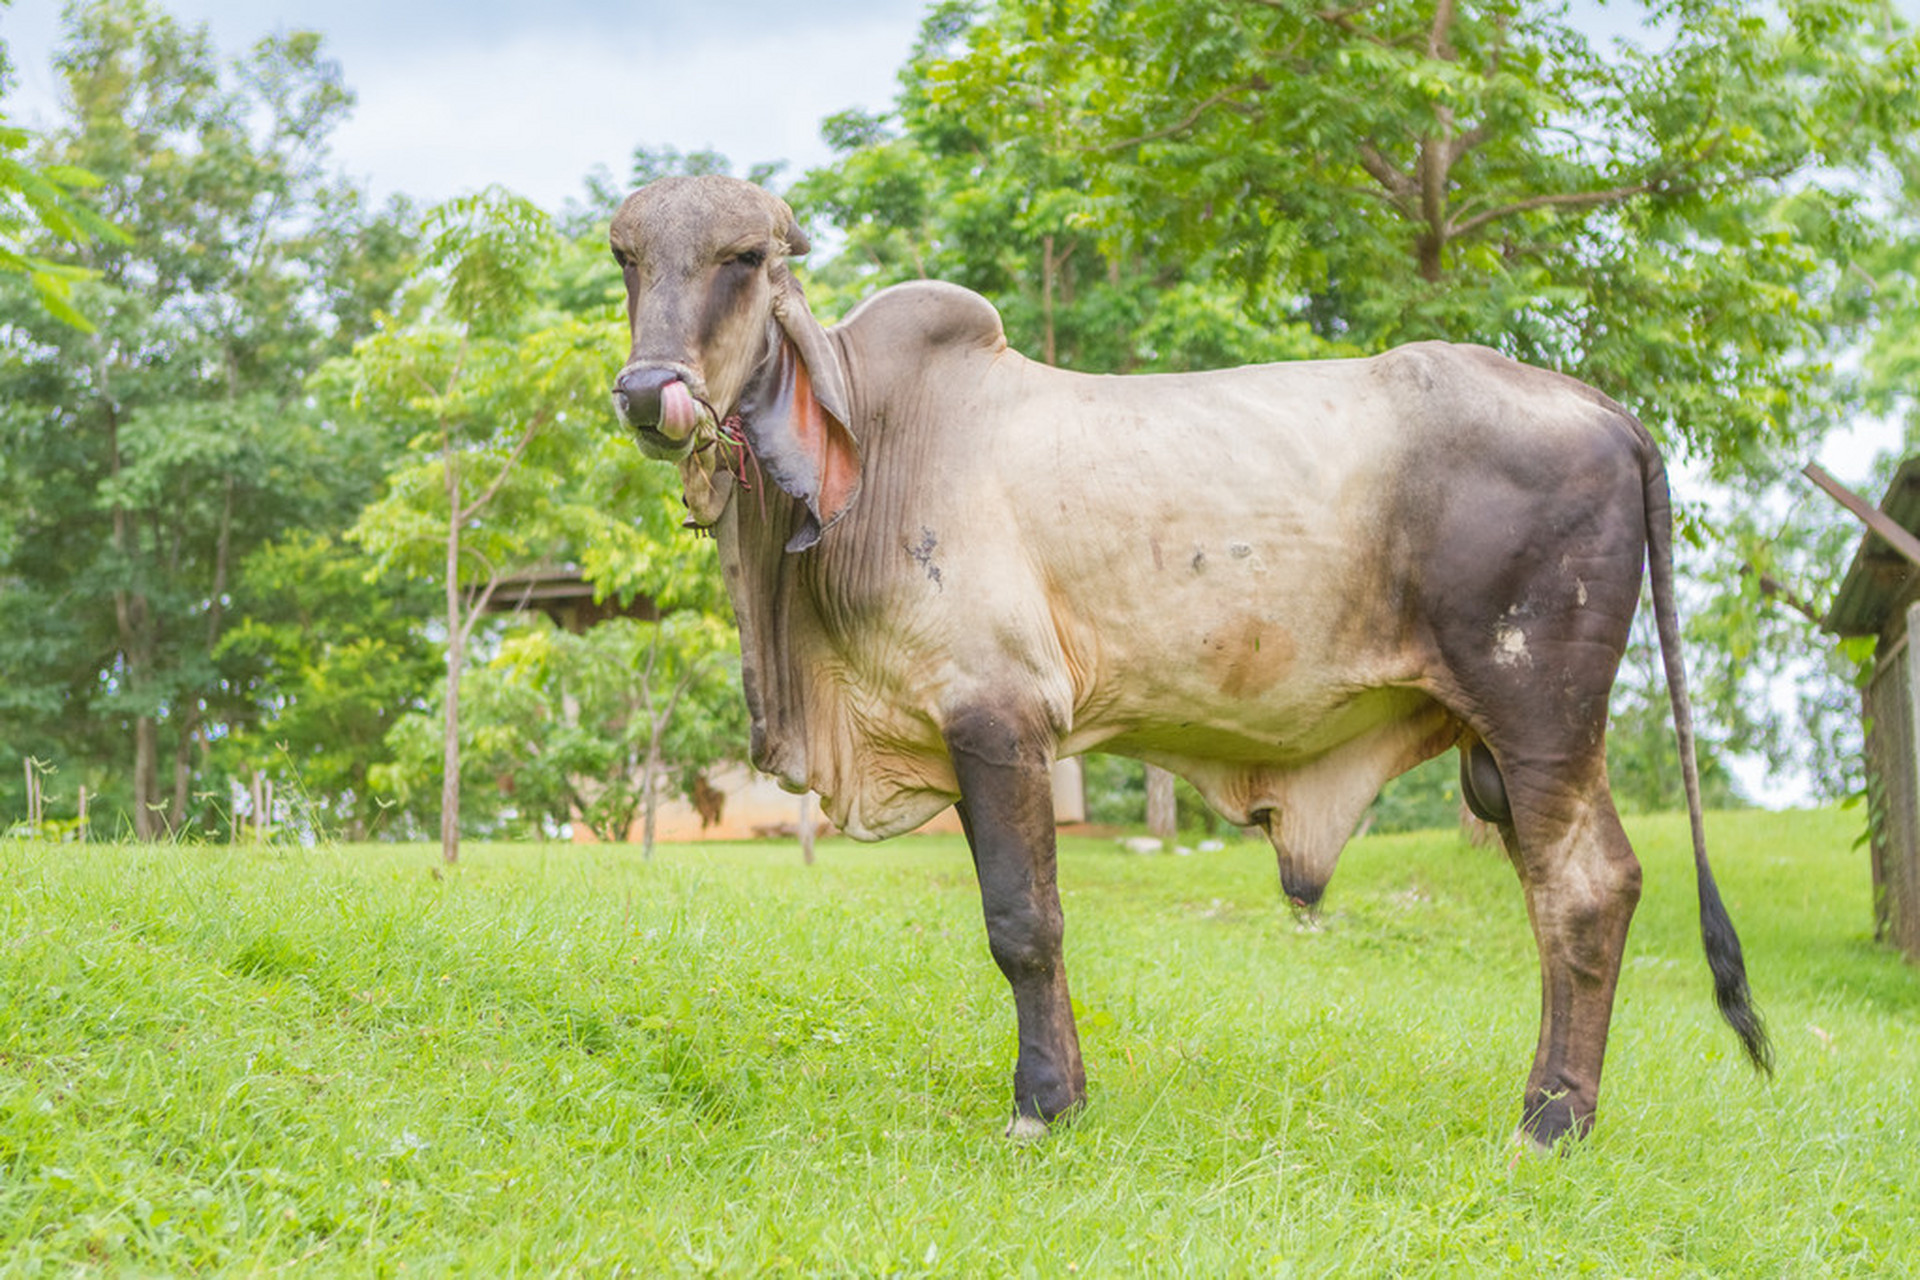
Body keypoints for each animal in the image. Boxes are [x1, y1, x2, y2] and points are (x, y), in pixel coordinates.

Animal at [602, 172, 1766, 1151]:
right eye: (627, 258)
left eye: (744, 258)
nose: (649, 388)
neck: (880, 451)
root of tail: (1605, 409)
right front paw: (1064, 1096)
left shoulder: (999, 714)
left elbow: (1024, 923)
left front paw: (1041, 1108)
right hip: (1505, 751)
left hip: (1541, 716)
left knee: (1587, 889)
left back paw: (1550, 1122)